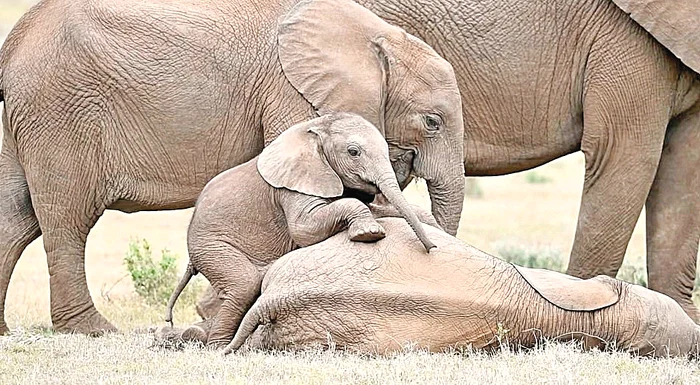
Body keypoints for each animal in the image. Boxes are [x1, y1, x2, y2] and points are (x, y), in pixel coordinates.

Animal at [166, 112, 434, 346]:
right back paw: (218, 346)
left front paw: (429, 223)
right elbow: (305, 229)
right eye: (353, 152)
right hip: (210, 246)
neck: (314, 129)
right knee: (243, 285)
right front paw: (369, 234)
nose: (431, 248)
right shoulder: (292, 184)